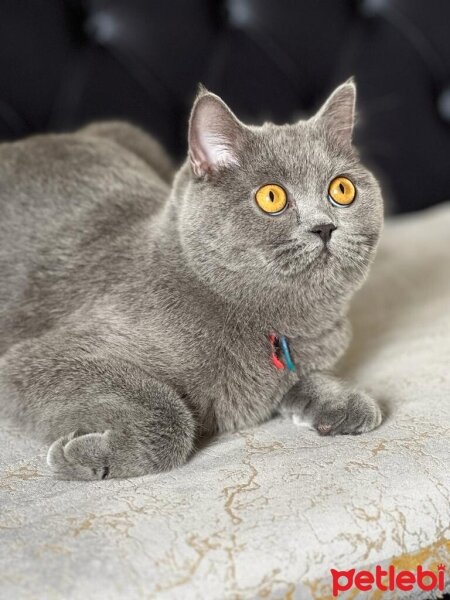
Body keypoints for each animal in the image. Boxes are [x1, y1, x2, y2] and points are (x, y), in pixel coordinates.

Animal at [0, 82, 384, 480]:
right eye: (271, 197)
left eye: (342, 190)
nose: (324, 226)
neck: (280, 323)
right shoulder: (36, 360)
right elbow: (168, 412)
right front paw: (78, 455)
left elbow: (314, 377)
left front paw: (345, 401)